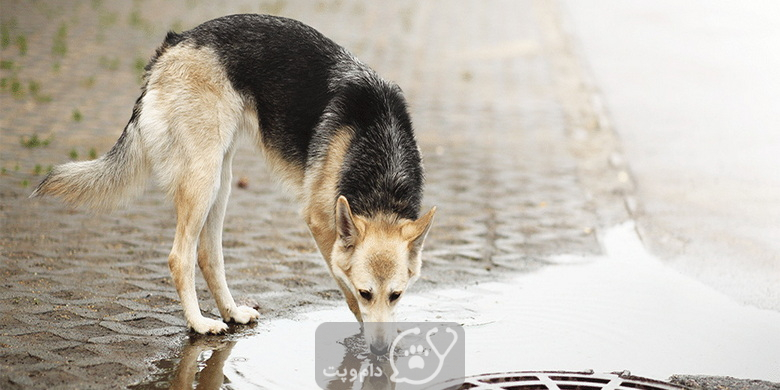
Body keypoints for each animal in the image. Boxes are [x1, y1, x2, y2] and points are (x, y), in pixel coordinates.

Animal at [32, 13, 432, 352]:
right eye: (367, 293)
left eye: (396, 295)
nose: (380, 351)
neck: (381, 169)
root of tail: (174, 44)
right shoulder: (321, 223)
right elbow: (345, 287)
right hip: (203, 178)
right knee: (180, 257)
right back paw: (199, 323)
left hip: (220, 181)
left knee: (208, 255)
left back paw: (231, 312)